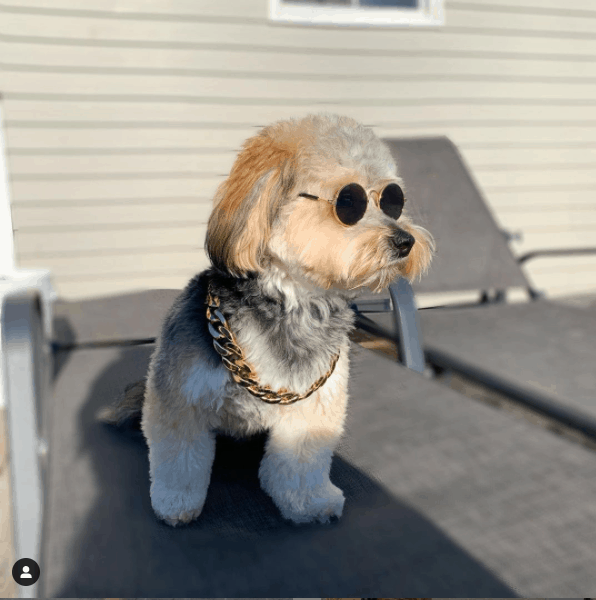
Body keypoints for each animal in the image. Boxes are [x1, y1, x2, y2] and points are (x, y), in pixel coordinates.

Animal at [100, 112, 436, 524]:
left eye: (393, 201)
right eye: (349, 202)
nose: (406, 242)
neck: (293, 305)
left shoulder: (313, 407)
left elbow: (300, 461)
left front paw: (308, 501)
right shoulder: (182, 397)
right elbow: (180, 460)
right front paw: (175, 503)